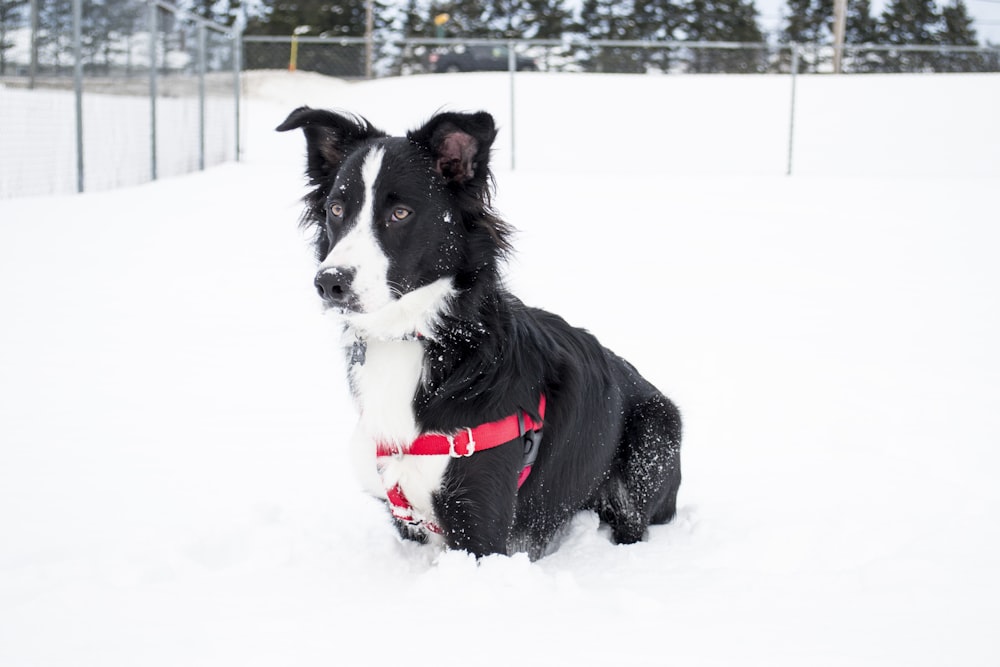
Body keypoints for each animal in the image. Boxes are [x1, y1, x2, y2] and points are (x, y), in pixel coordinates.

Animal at [276, 108, 680, 560]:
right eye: (336, 208)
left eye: (400, 214)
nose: (329, 282)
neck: (420, 337)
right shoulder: (407, 519)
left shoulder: (479, 527)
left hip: (654, 437)